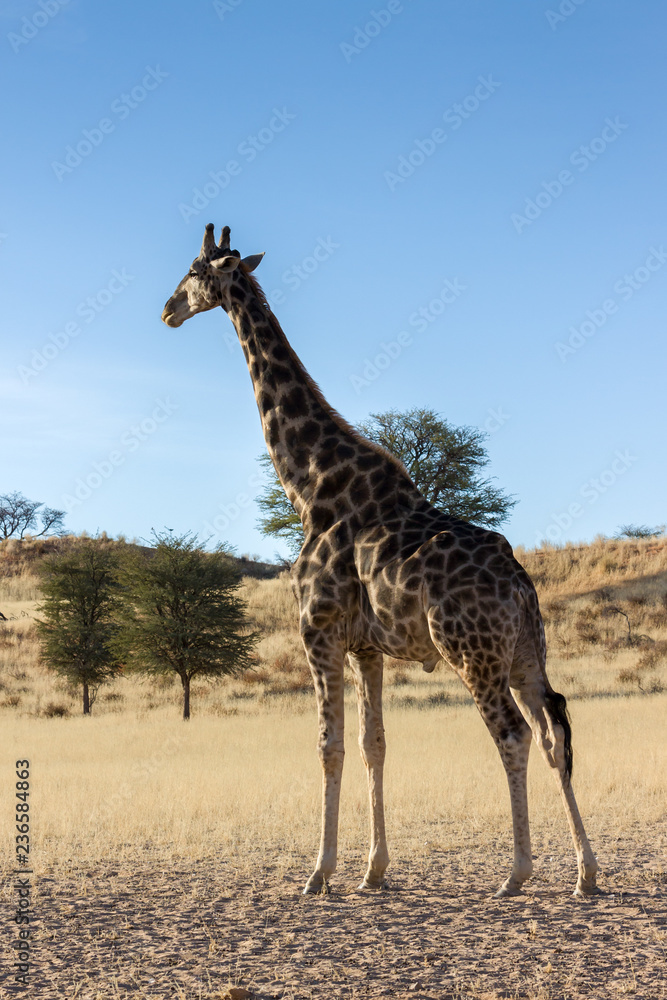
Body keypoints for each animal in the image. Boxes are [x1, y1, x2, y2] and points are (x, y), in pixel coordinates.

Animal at [162, 224, 600, 898]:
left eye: (193, 269)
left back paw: (517, 873)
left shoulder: (317, 631)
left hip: (471, 653)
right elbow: (375, 744)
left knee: (514, 733)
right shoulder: (366, 646)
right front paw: (373, 870)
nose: (167, 310)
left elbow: (329, 746)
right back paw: (586, 873)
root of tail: (522, 586)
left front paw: (318, 873)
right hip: (526, 652)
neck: (312, 487)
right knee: (555, 731)